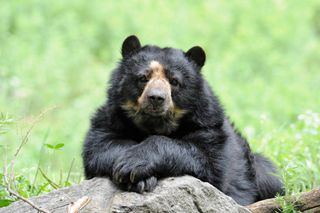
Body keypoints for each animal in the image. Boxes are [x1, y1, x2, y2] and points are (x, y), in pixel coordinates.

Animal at [82, 35, 282, 205]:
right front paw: (135, 177)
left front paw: (132, 166)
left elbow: (208, 162)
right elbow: (101, 146)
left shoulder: (208, 126)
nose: (156, 98)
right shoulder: (110, 119)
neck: (155, 125)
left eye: (174, 81)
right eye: (143, 78)